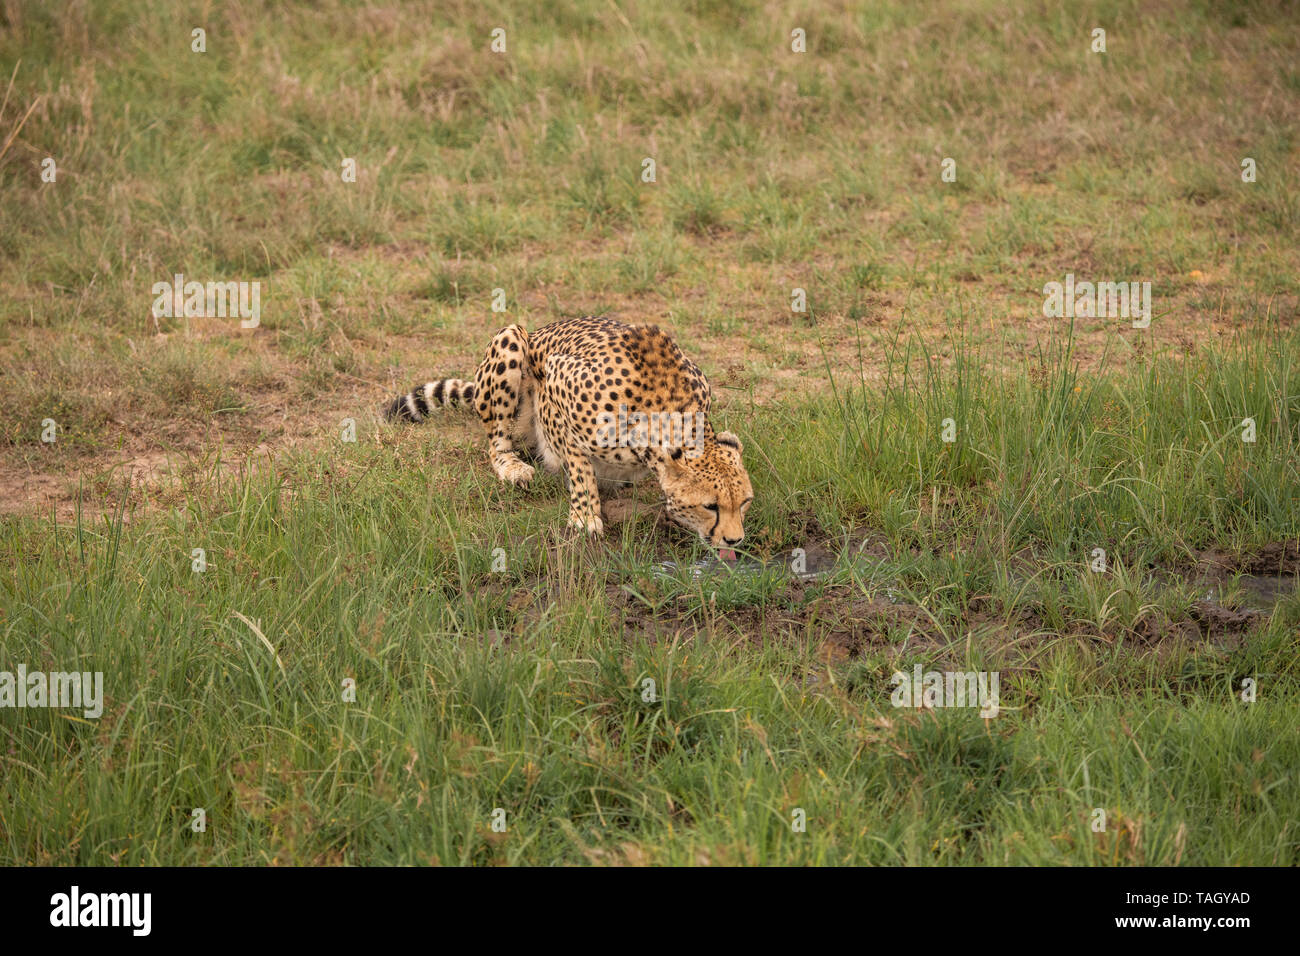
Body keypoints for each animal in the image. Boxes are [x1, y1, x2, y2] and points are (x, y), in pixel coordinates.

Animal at [382, 316, 754, 554]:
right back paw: (512, 467)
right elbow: (578, 464)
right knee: (497, 443)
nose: (735, 541)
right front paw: (586, 515)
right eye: (710, 506)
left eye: (745, 502)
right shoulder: (556, 383)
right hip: (511, 338)